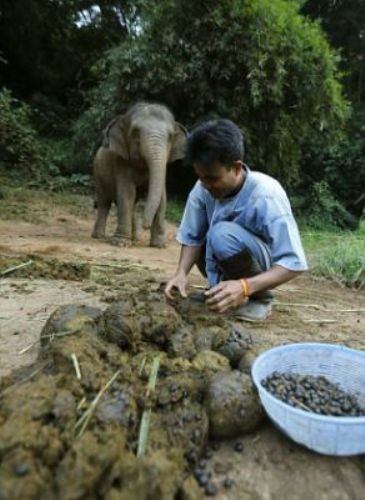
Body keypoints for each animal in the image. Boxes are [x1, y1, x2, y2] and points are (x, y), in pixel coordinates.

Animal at [91, 102, 188, 247]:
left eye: (170, 136)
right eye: (135, 132)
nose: (145, 226)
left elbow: (162, 197)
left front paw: (159, 245)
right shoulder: (122, 163)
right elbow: (126, 193)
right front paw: (120, 243)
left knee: (133, 204)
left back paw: (135, 238)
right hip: (98, 174)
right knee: (104, 203)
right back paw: (98, 236)